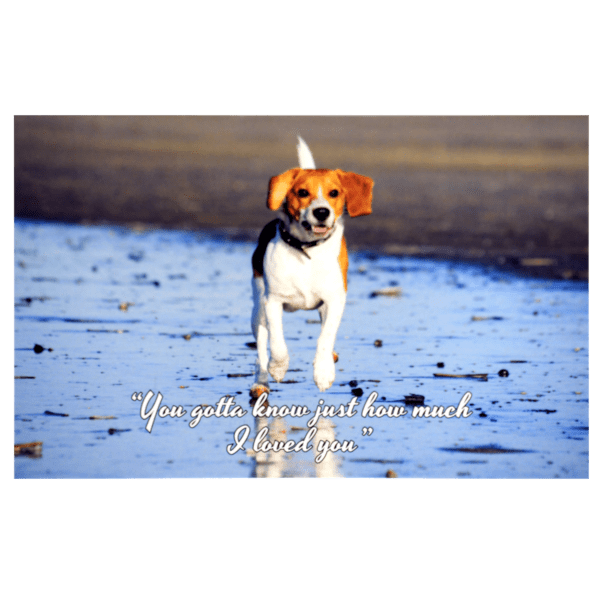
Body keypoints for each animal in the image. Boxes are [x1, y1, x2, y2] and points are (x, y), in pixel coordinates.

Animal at [251, 138, 372, 396]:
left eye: (334, 193)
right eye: (302, 193)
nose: (321, 212)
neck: (308, 250)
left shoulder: (335, 301)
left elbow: (325, 338)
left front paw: (324, 372)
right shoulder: (272, 301)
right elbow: (277, 343)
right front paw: (278, 368)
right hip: (257, 312)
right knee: (261, 349)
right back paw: (261, 382)